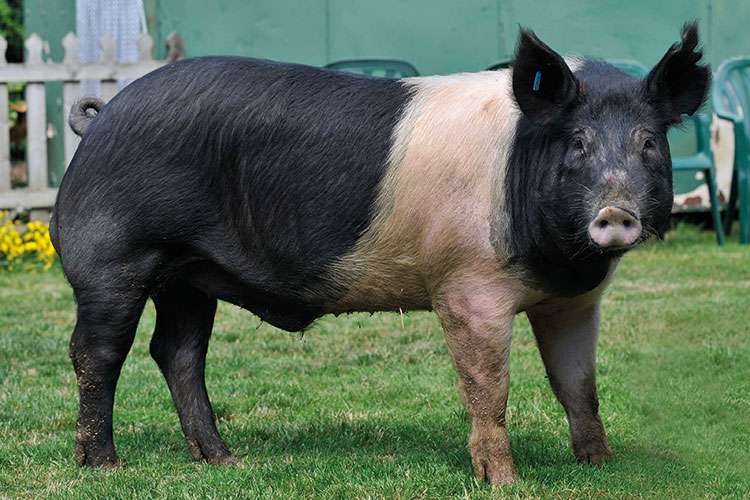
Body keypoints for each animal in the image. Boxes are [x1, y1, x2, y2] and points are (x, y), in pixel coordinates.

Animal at [51, 23, 709, 484]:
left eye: (649, 143)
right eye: (577, 143)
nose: (616, 211)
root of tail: (100, 119)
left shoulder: (574, 302)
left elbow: (577, 383)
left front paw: (600, 465)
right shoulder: (465, 286)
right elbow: (488, 387)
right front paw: (504, 481)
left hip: (189, 275)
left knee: (177, 352)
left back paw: (224, 462)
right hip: (112, 257)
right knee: (97, 352)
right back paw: (105, 466)